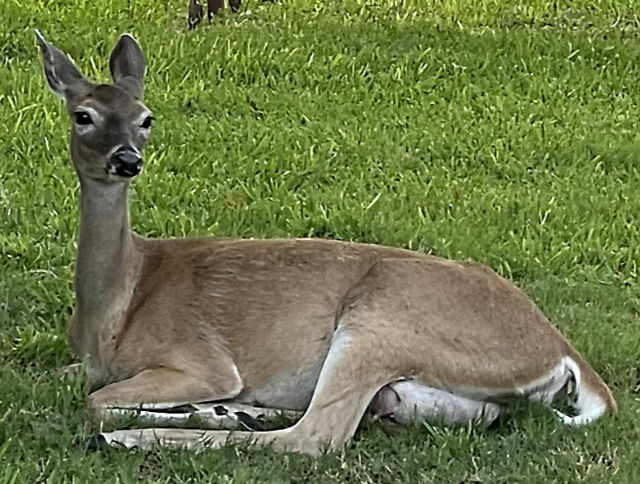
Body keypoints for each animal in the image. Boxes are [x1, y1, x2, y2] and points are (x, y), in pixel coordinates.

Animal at [33, 29, 616, 454]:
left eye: (146, 118)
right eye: (83, 115)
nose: (127, 159)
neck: (117, 305)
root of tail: (562, 350)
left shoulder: (198, 358)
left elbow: (99, 397)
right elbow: (71, 381)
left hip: (383, 318)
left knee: (315, 437)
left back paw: (129, 437)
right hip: (434, 390)